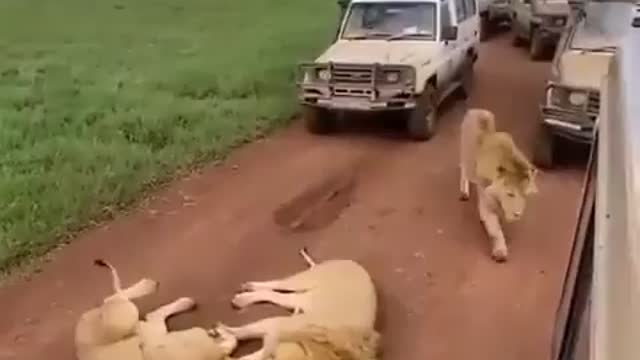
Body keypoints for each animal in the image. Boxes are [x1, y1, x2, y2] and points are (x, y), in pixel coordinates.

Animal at [218, 248, 380, 360]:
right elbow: (246, 331)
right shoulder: (277, 326)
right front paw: (226, 333)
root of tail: (349, 262)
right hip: (303, 281)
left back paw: (244, 297)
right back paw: (248, 290)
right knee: (278, 284)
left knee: (275, 295)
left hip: (304, 298)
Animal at [458, 108, 536, 262]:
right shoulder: (486, 202)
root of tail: (475, 110)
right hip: (464, 152)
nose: (518, 214)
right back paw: (464, 192)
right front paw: (500, 251)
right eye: (510, 194)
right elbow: (495, 229)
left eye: (524, 195)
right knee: (463, 168)